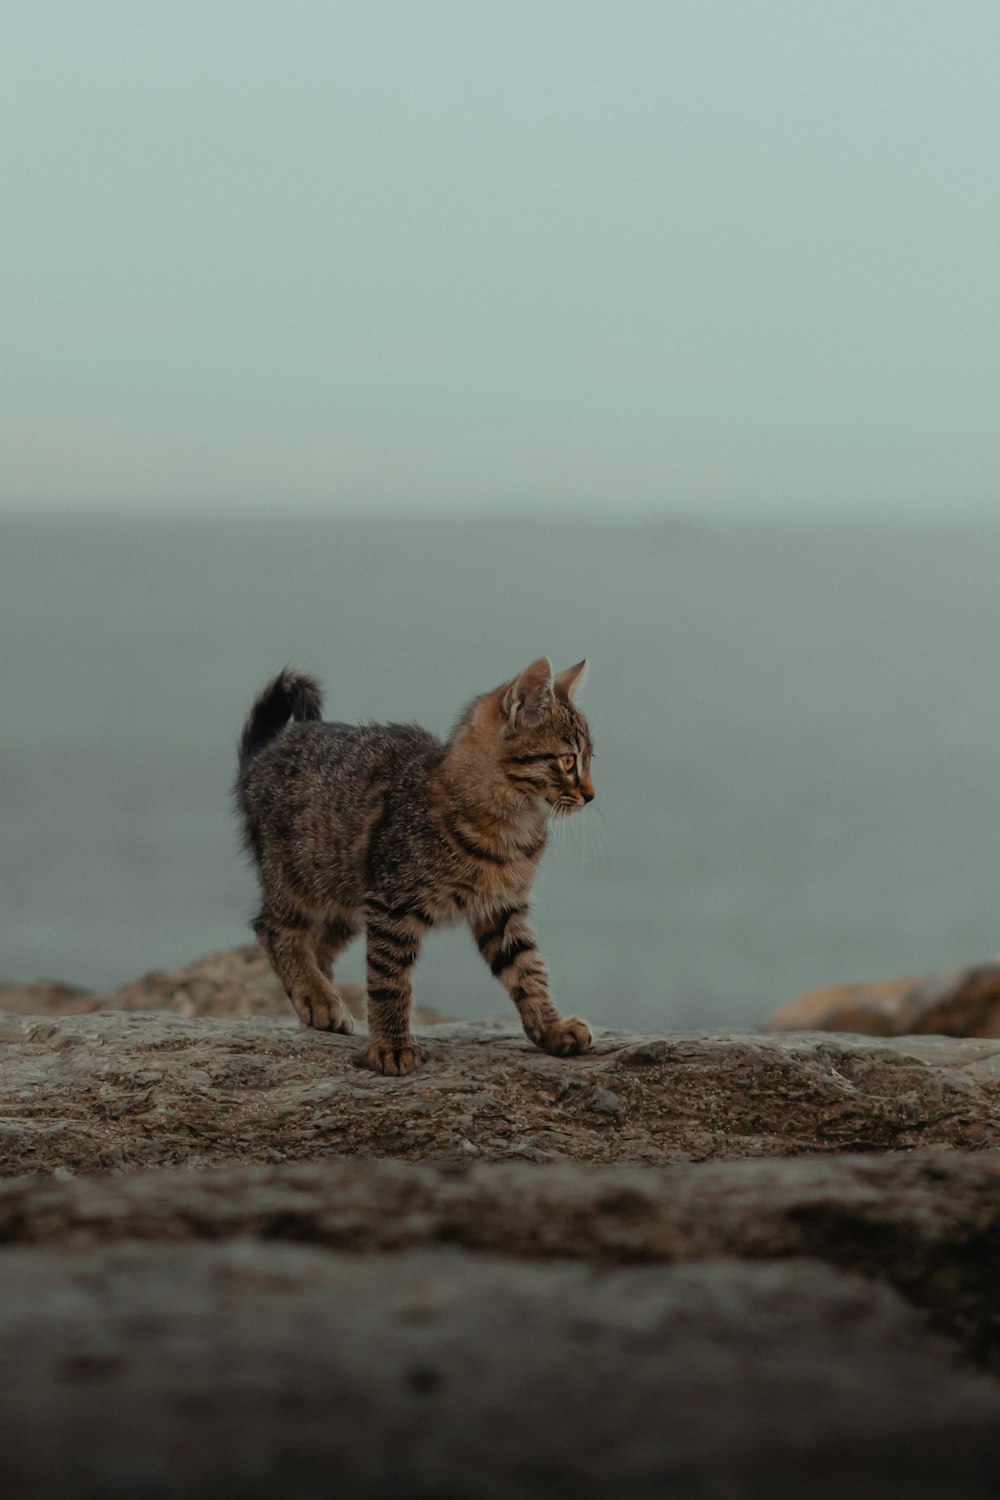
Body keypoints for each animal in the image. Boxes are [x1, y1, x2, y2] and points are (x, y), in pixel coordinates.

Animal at [235, 663, 593, 1074]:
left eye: (589, 758)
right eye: (569, 761)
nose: (591, 794)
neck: (510, 825)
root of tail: (263, 753)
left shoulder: (503, 908)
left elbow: (527, 969)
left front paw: (550, 1027)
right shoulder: (392, 906)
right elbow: (388, 981)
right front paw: (391, 1045)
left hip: (347, 894)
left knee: (319, 944)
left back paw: (320, 997)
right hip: (301, 873)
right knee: (274, 928)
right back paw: (316, 995)